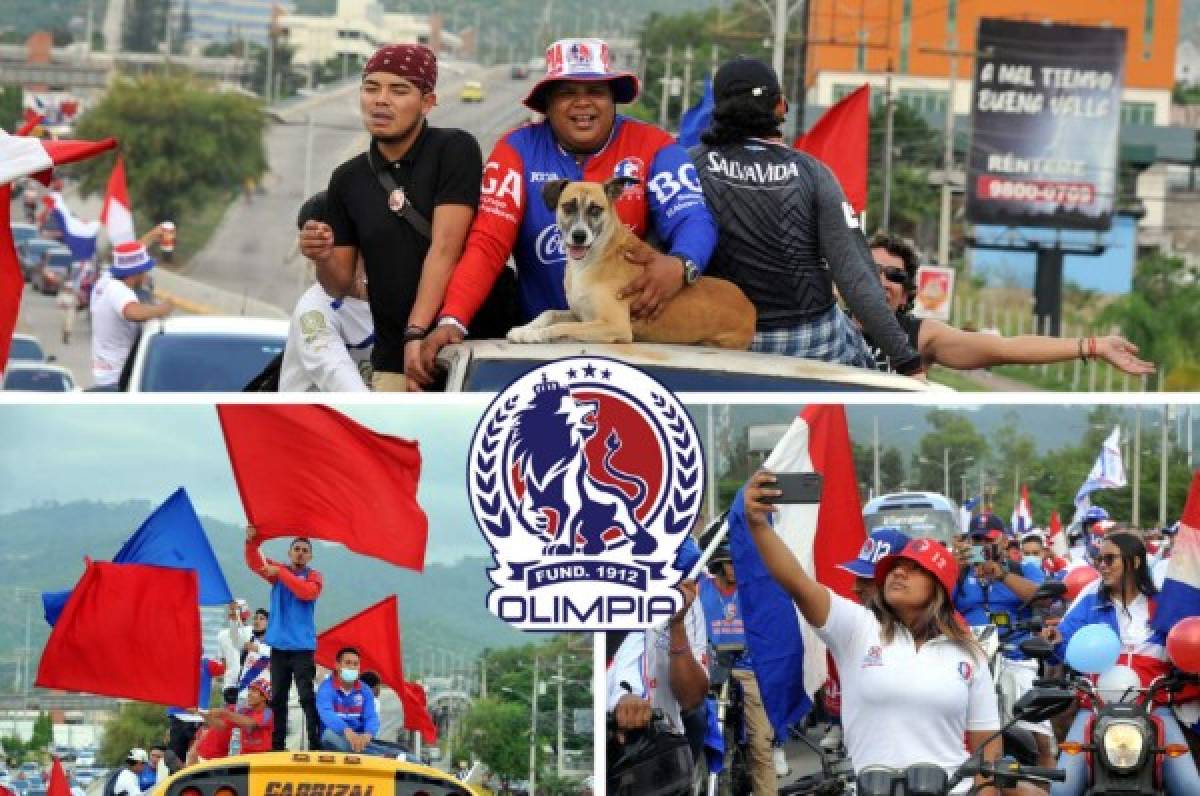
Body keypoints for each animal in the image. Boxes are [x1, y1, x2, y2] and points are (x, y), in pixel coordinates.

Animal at [508, 180, 758, 348]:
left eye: (595, 209)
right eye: (568, 206)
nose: (579, 236)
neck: (597, 256)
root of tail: (750, 306)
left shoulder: (614, 325)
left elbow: (562, 326)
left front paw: (535, 335)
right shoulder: (582, 315)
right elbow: (549, 313)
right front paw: (524, 329)